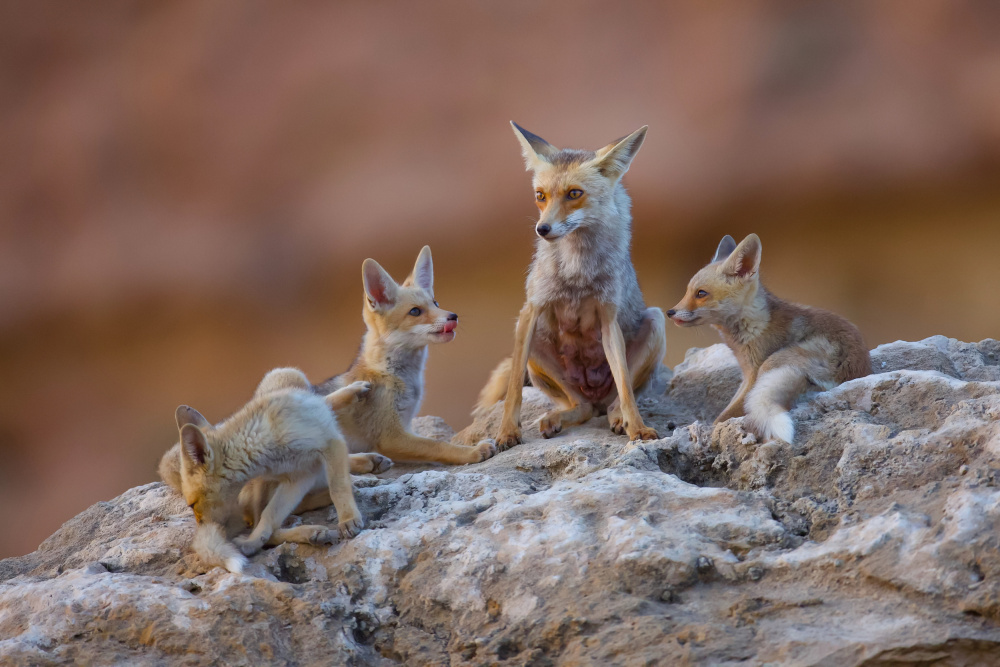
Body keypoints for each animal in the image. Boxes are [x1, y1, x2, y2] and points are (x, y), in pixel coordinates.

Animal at [169, 369, 369, 574]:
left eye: (192, 505)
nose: (204, 529)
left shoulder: (327, 446)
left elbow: (338, 487)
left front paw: (348, 519)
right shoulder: (299, 476)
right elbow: (269, 517)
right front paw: (253, 542)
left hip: (290, 374)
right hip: (262, 487)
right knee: (268, 523)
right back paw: (313, 532)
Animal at [477, 122, 666, 448]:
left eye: (574, 194)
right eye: (540, 196)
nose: (542, 229)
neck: (577, 272)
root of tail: (594, 394)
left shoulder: (608, 317)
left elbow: (627, 389)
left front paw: (638, 429)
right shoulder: (530, 311)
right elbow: (513, 391)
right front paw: (507, 432)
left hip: (655, 321)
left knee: (614, 400)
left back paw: (619, 418)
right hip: (531, 341)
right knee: (582, 407)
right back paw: (557, 418)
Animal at [667, 233, 871, 443]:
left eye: (701, 293)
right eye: (687, 291)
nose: (670, 312)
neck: (755, 324)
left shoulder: (755, 370)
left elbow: (725, 415)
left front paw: (710, 429)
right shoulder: (746, 374)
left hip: (772, 362)